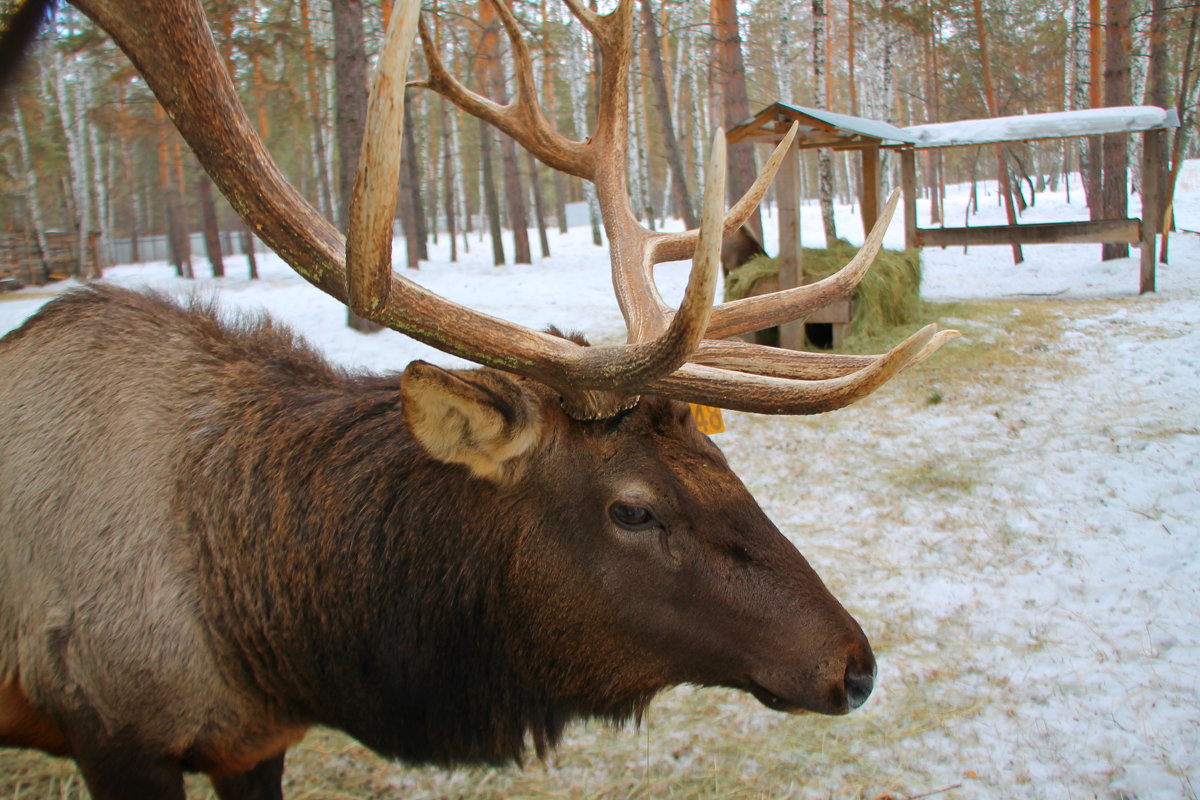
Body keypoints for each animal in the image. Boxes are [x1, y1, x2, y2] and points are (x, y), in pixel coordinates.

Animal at [0, 0, 955, 796]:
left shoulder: (255, 742)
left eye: (720, 455)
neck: (274, 637)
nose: (855, 664)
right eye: (633, 509)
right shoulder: (115, 730)